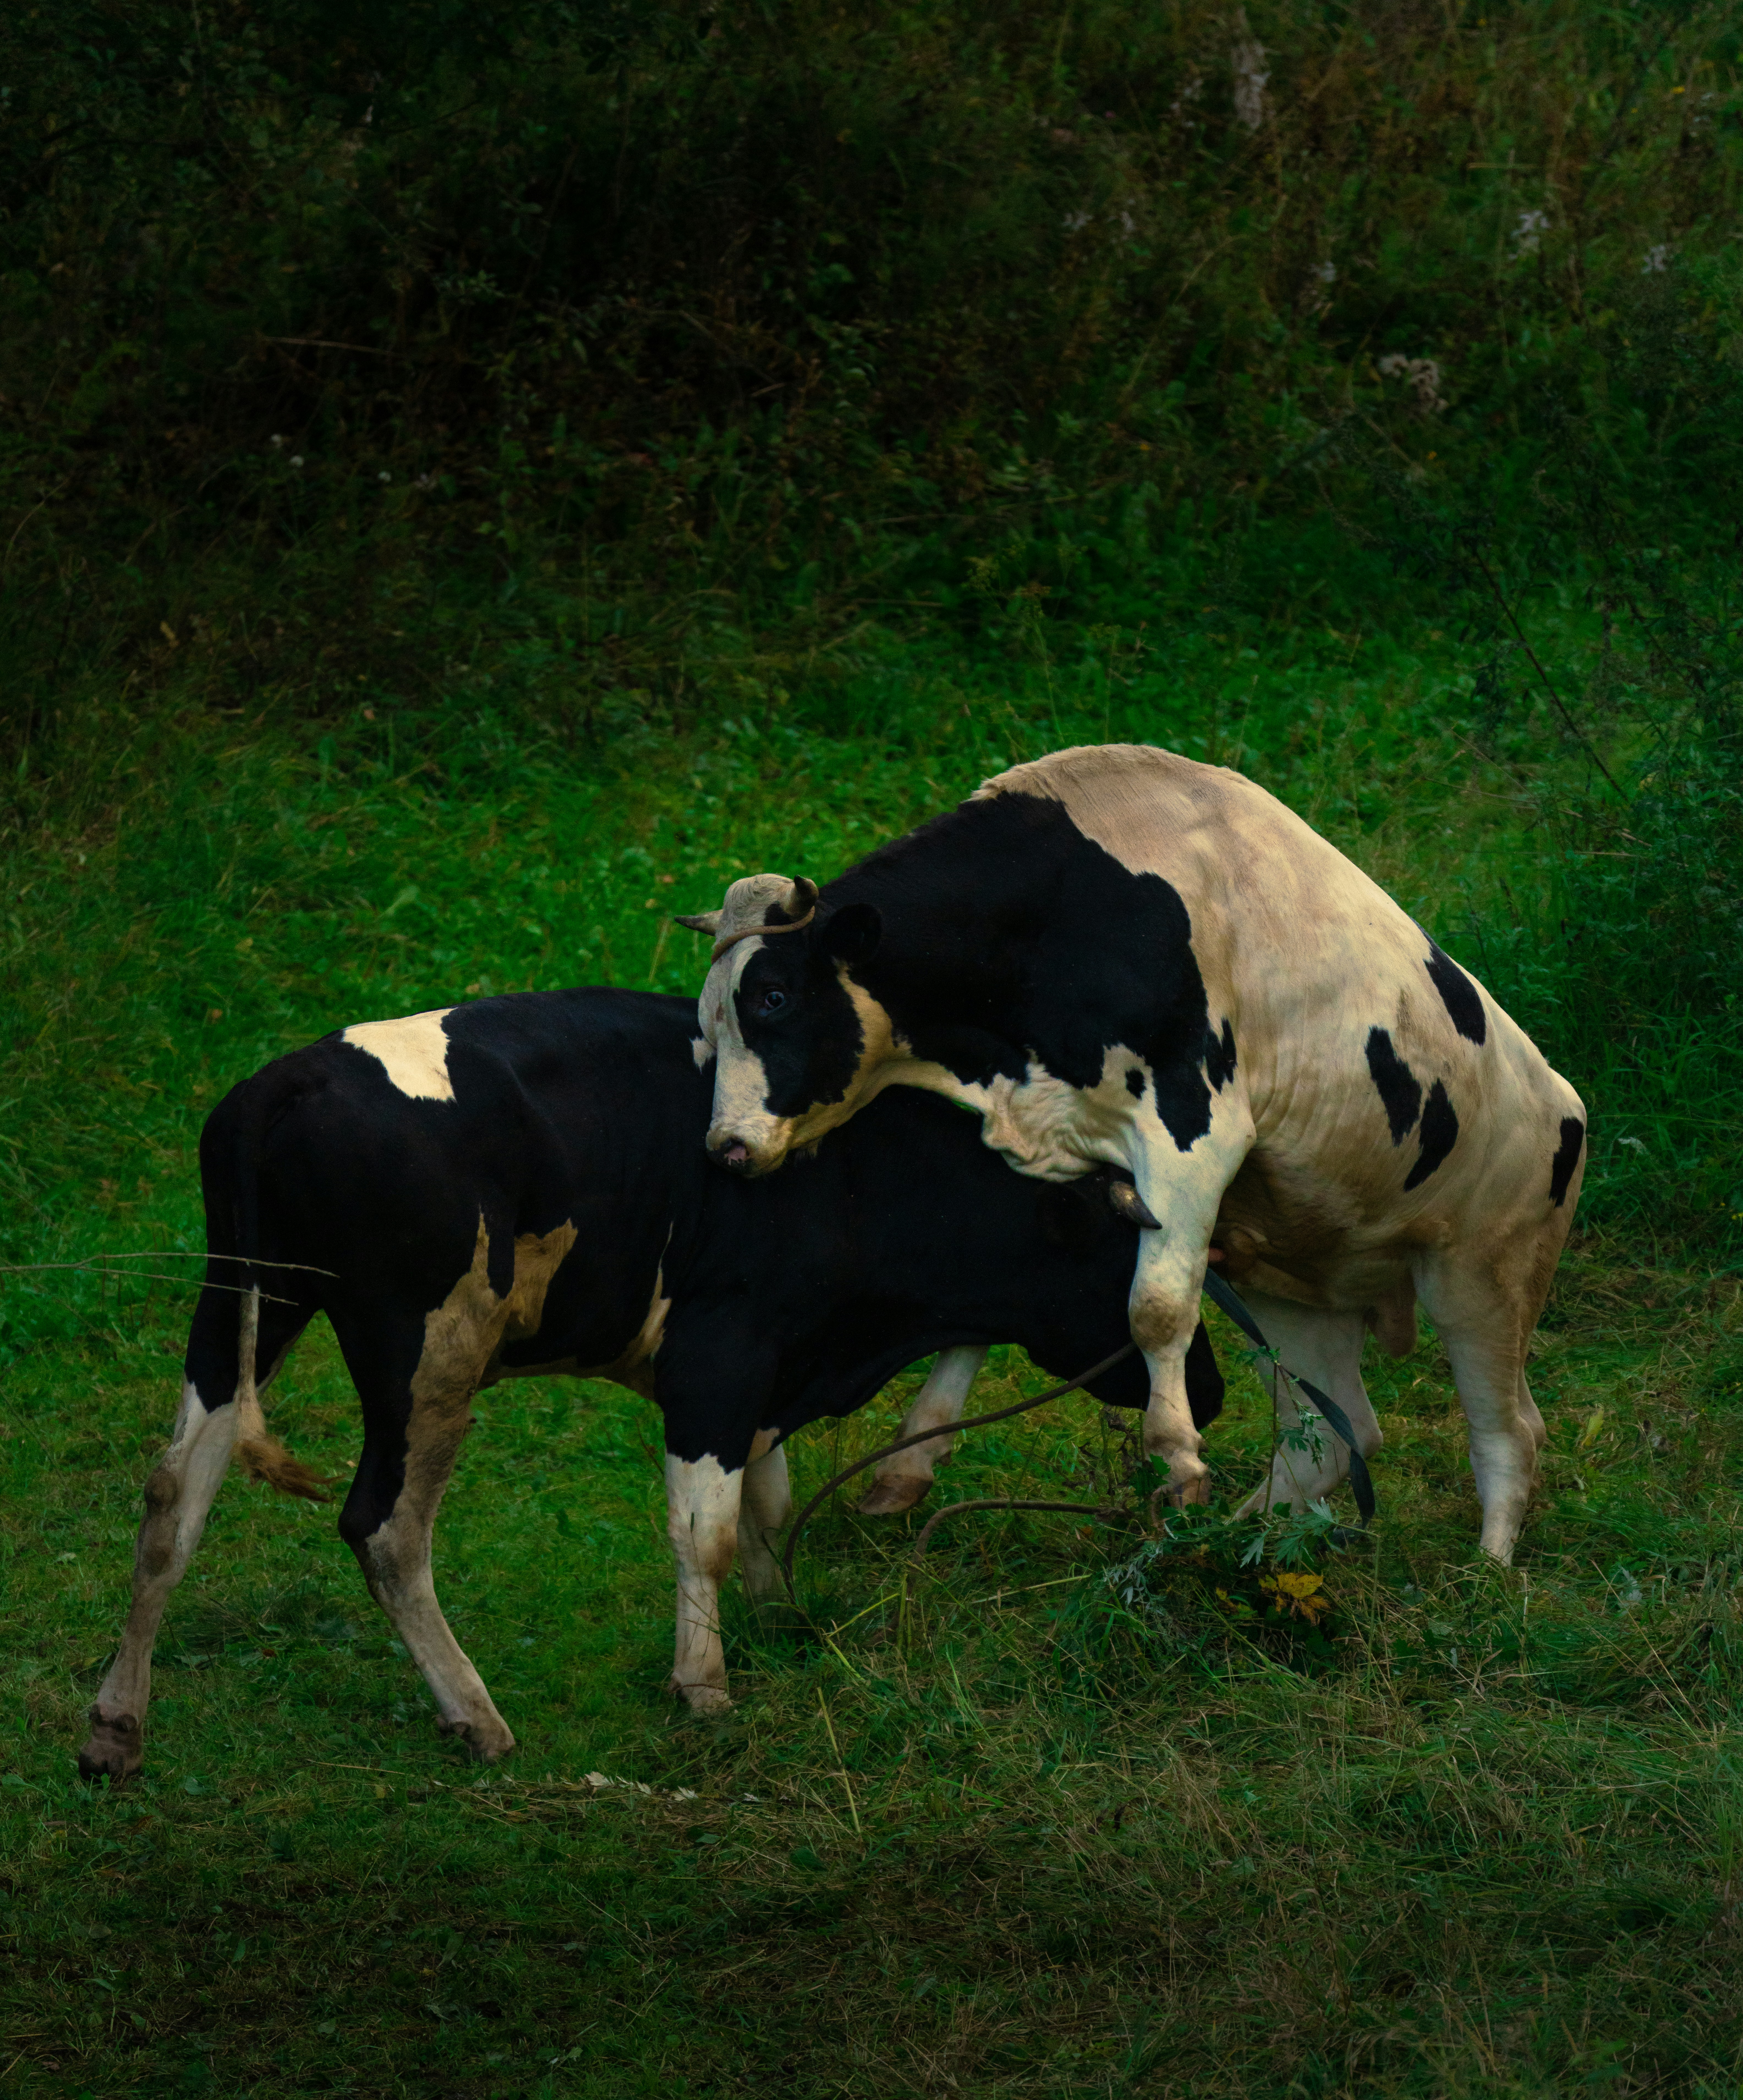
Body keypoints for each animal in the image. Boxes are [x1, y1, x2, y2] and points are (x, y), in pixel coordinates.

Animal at [77, 986, 1224, 1783]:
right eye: (1129, 1249)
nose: (1209, 1391)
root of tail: (288, 1079)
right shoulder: (719, 1356)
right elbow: (705, 1524)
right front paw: (705, 1682)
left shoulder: (769, 1364)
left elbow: (766, 1498)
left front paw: (779, 1613)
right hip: (426, 1348)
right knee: (385, 1524)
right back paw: (477, 1715)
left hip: (241, 1306)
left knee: (174, 1493)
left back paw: (115, 1725)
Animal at [691, 742, 1589, 1563]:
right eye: (707, 1024)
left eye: (774, 997)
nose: (725, 1148)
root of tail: (1566, 1099)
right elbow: (985, 1310)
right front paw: (910, 1464)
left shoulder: (1195, 1123)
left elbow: (1154, 1309)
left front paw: (1180, 1460)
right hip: (1291, 1290)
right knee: (1337, 1434)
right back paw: (1238, 1542)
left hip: (1484, 1273)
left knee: (1510, 1429)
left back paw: (1488, 1571)